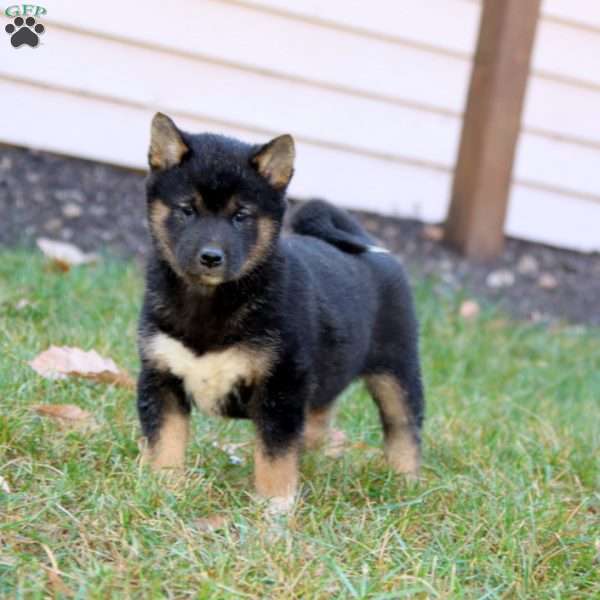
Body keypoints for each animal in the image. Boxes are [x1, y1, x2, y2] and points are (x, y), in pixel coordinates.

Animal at [138, 113, 424, 510]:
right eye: (187, 210)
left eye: (241, 216)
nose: (211, 257)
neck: (210, 301)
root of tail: (374, 246)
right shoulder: (161, 375)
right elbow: (166, 440)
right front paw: (165, 489)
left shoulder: (281, 386)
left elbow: (275, 453)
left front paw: (275, 506)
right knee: (320, 418)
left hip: (397, 370)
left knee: (404, 427)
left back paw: (405, 483)